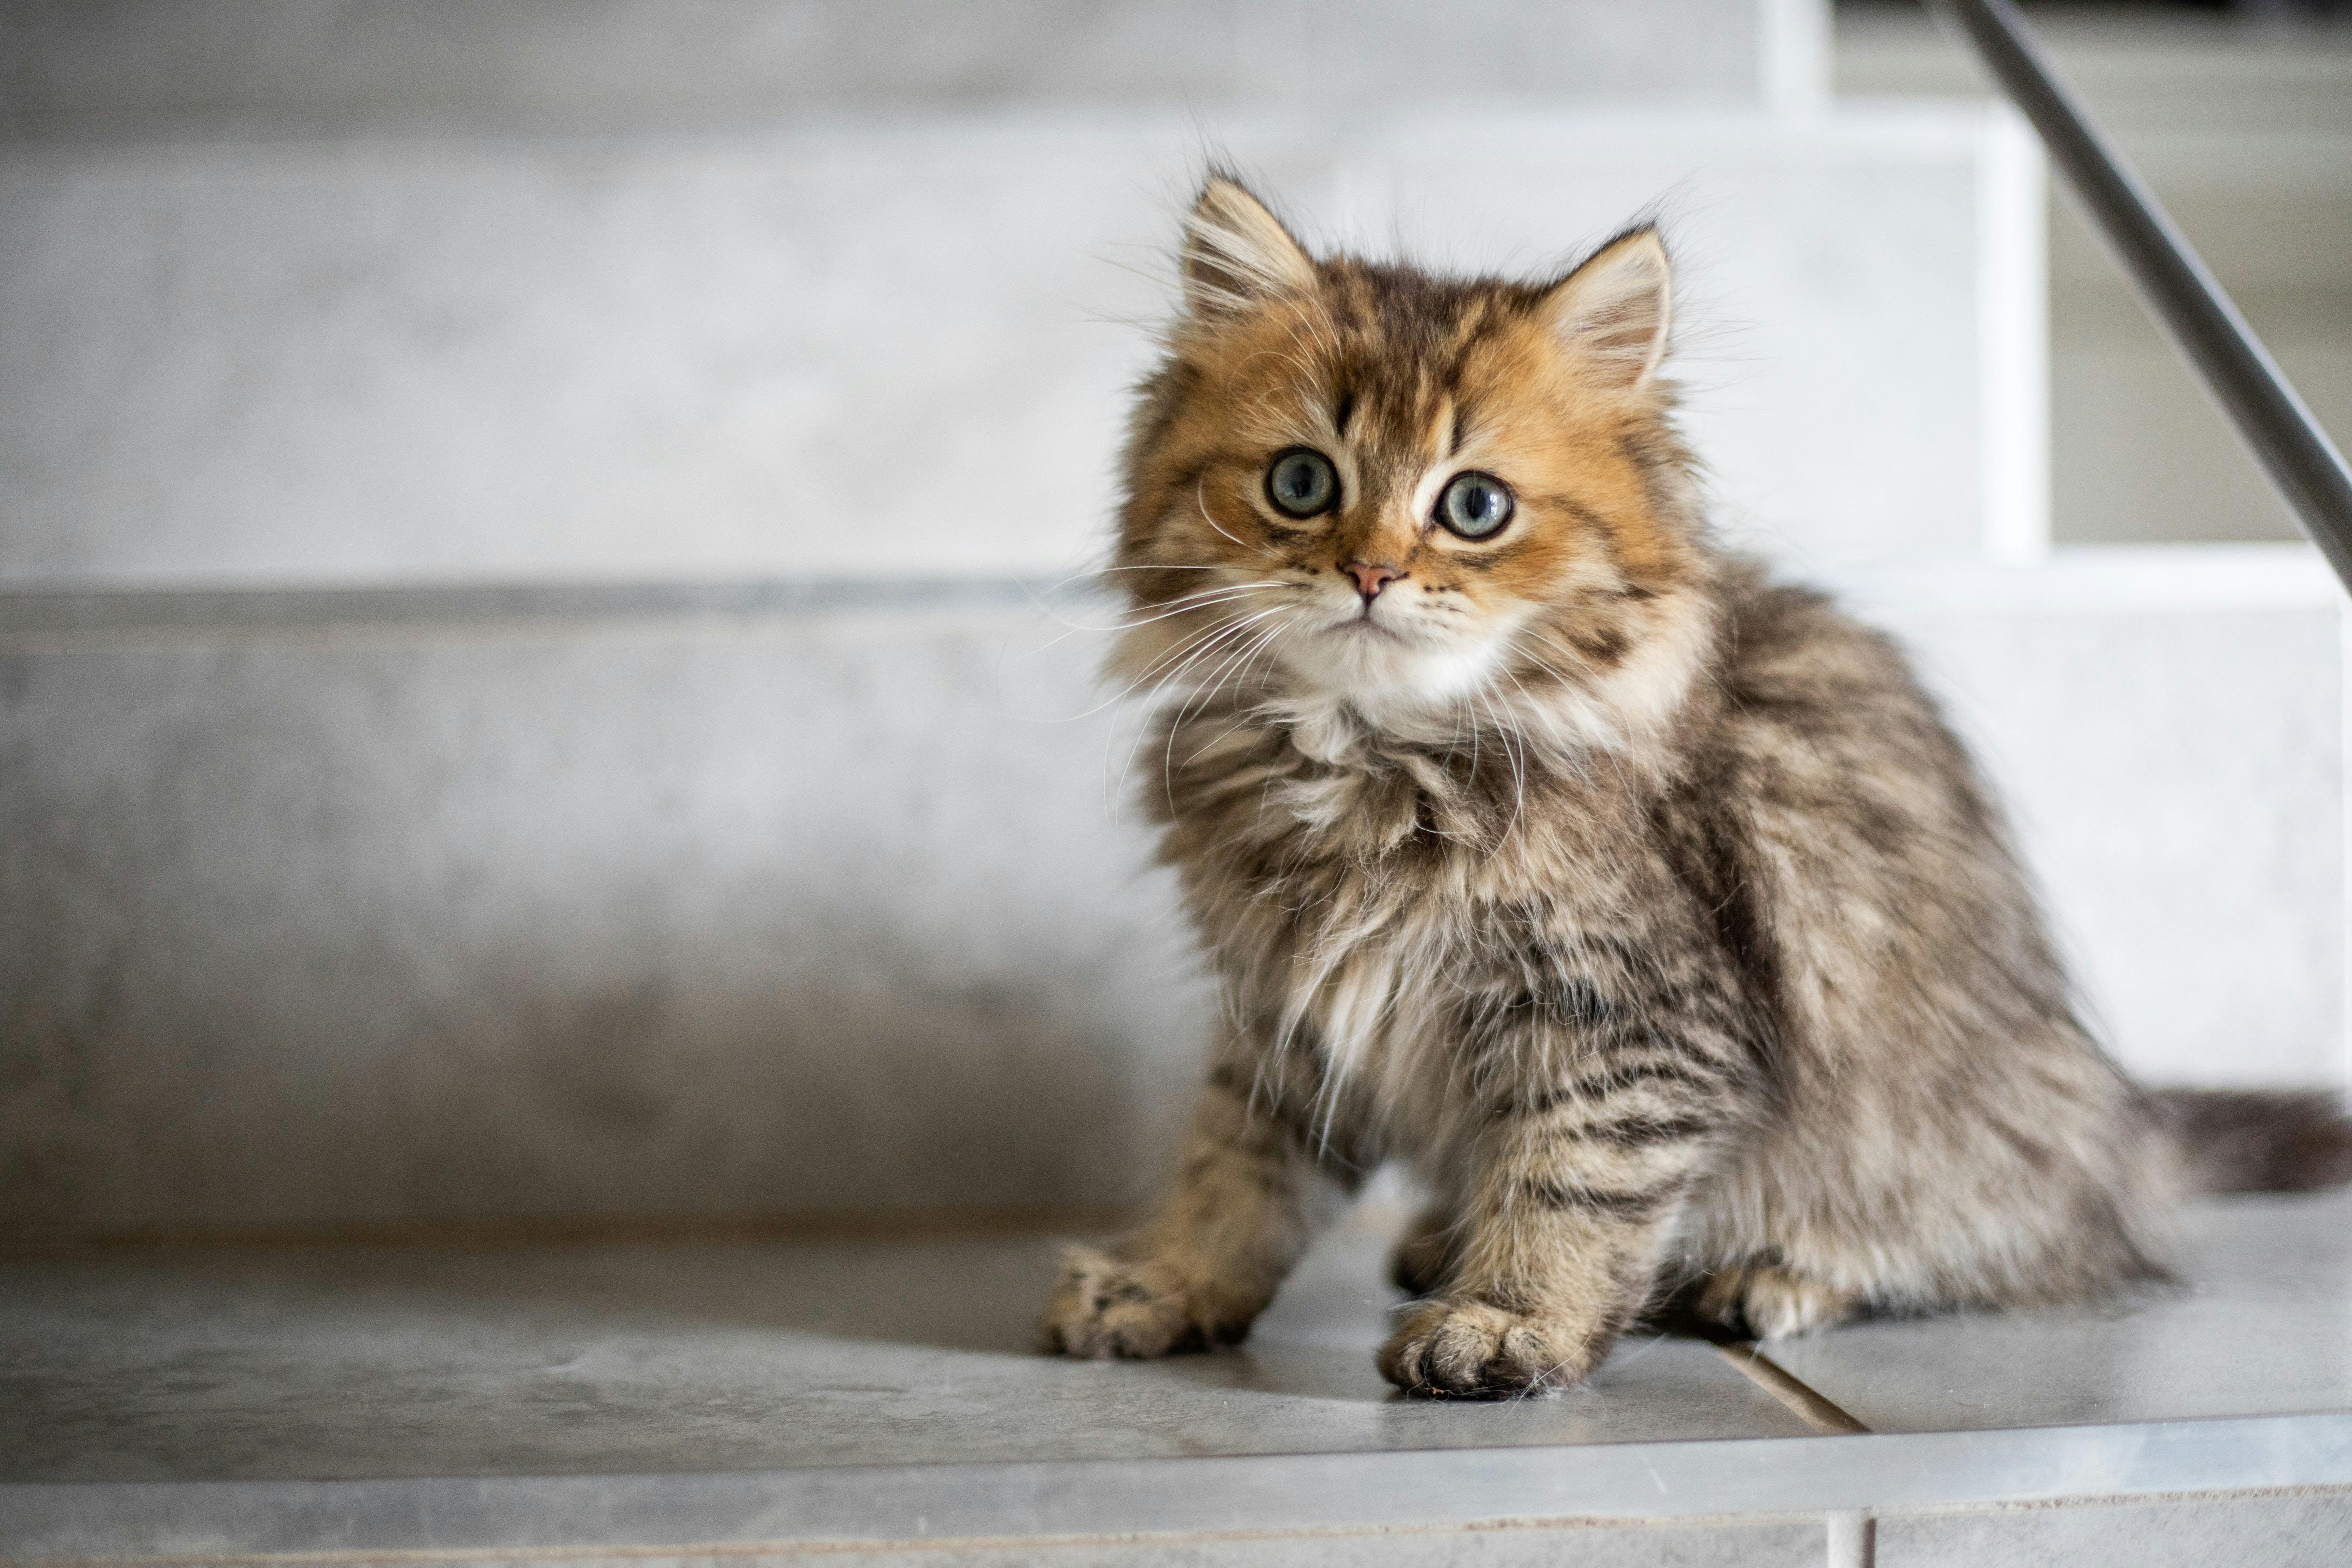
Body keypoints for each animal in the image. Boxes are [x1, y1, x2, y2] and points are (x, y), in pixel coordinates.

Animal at [1044, 172, 2352, 1401]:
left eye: (1474, 506)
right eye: (1302, 483)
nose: (1369, 573)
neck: (1373, 758)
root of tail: (2120, 1130)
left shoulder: (1634, 1018)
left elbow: (1570, 1184)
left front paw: (1508, 1322)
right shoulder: (1283, 1009)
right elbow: (1236, 1168)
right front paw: (1170, 1282)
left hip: (1956, 1134)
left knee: (1996, 1246)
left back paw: (1773, 1274)